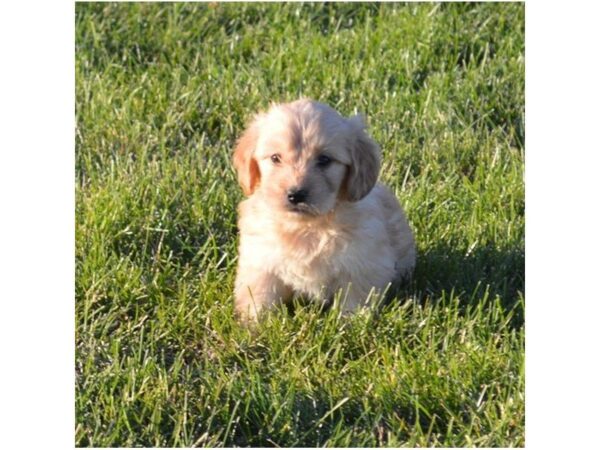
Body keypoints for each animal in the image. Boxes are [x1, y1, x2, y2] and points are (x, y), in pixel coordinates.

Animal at [232, 98, 414, 320]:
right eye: (275, 158)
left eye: (324, 160)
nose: (296, 195)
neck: (306, 227)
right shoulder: (260, 261)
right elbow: (259, 295)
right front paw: (254, 323)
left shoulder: (363, 264)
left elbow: (355, 300)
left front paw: (350, 324)